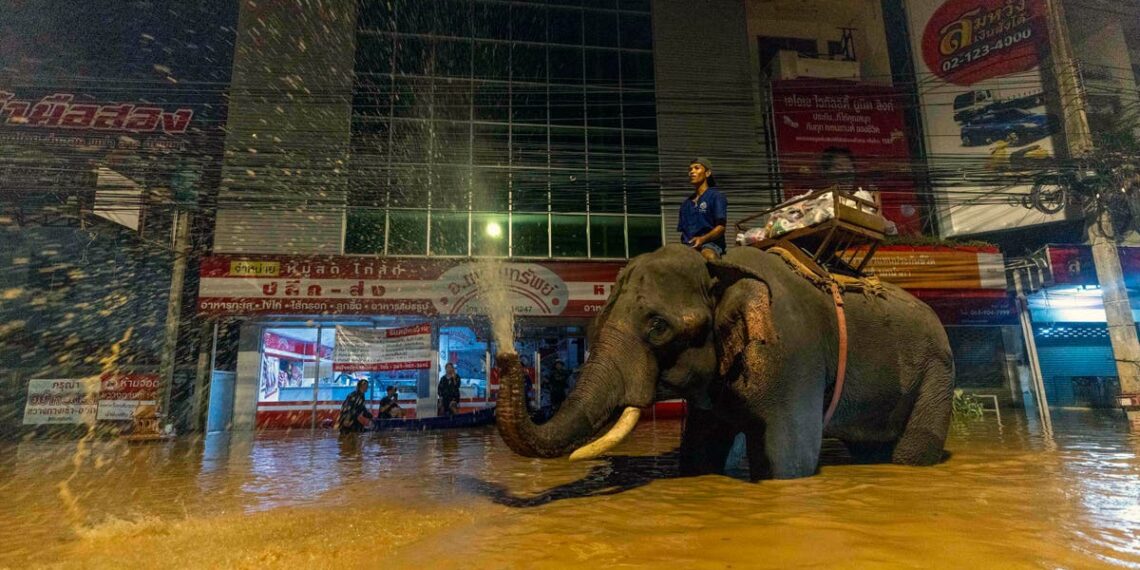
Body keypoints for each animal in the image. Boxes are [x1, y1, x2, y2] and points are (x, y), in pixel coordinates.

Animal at [494, 245, 957, 481]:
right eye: (594, 325)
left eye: (658, 326)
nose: (506, 354)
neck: (720, 265)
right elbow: (701, 450)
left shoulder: (793, 353)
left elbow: (789, 459)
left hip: (937, 370)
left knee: (912, 450)